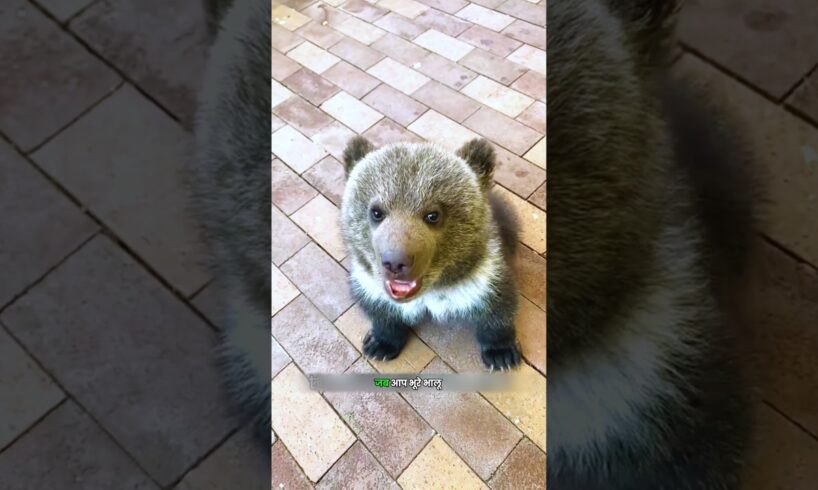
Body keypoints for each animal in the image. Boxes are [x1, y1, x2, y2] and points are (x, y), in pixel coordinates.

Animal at [340, 137, 523, 371]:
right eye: (376, 212)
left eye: (433, 215)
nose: (395, 262)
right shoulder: (368, 281)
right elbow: (377, 307)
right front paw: (381, 343)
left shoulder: (484, 275)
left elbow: (498, 307)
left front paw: (501, 352)